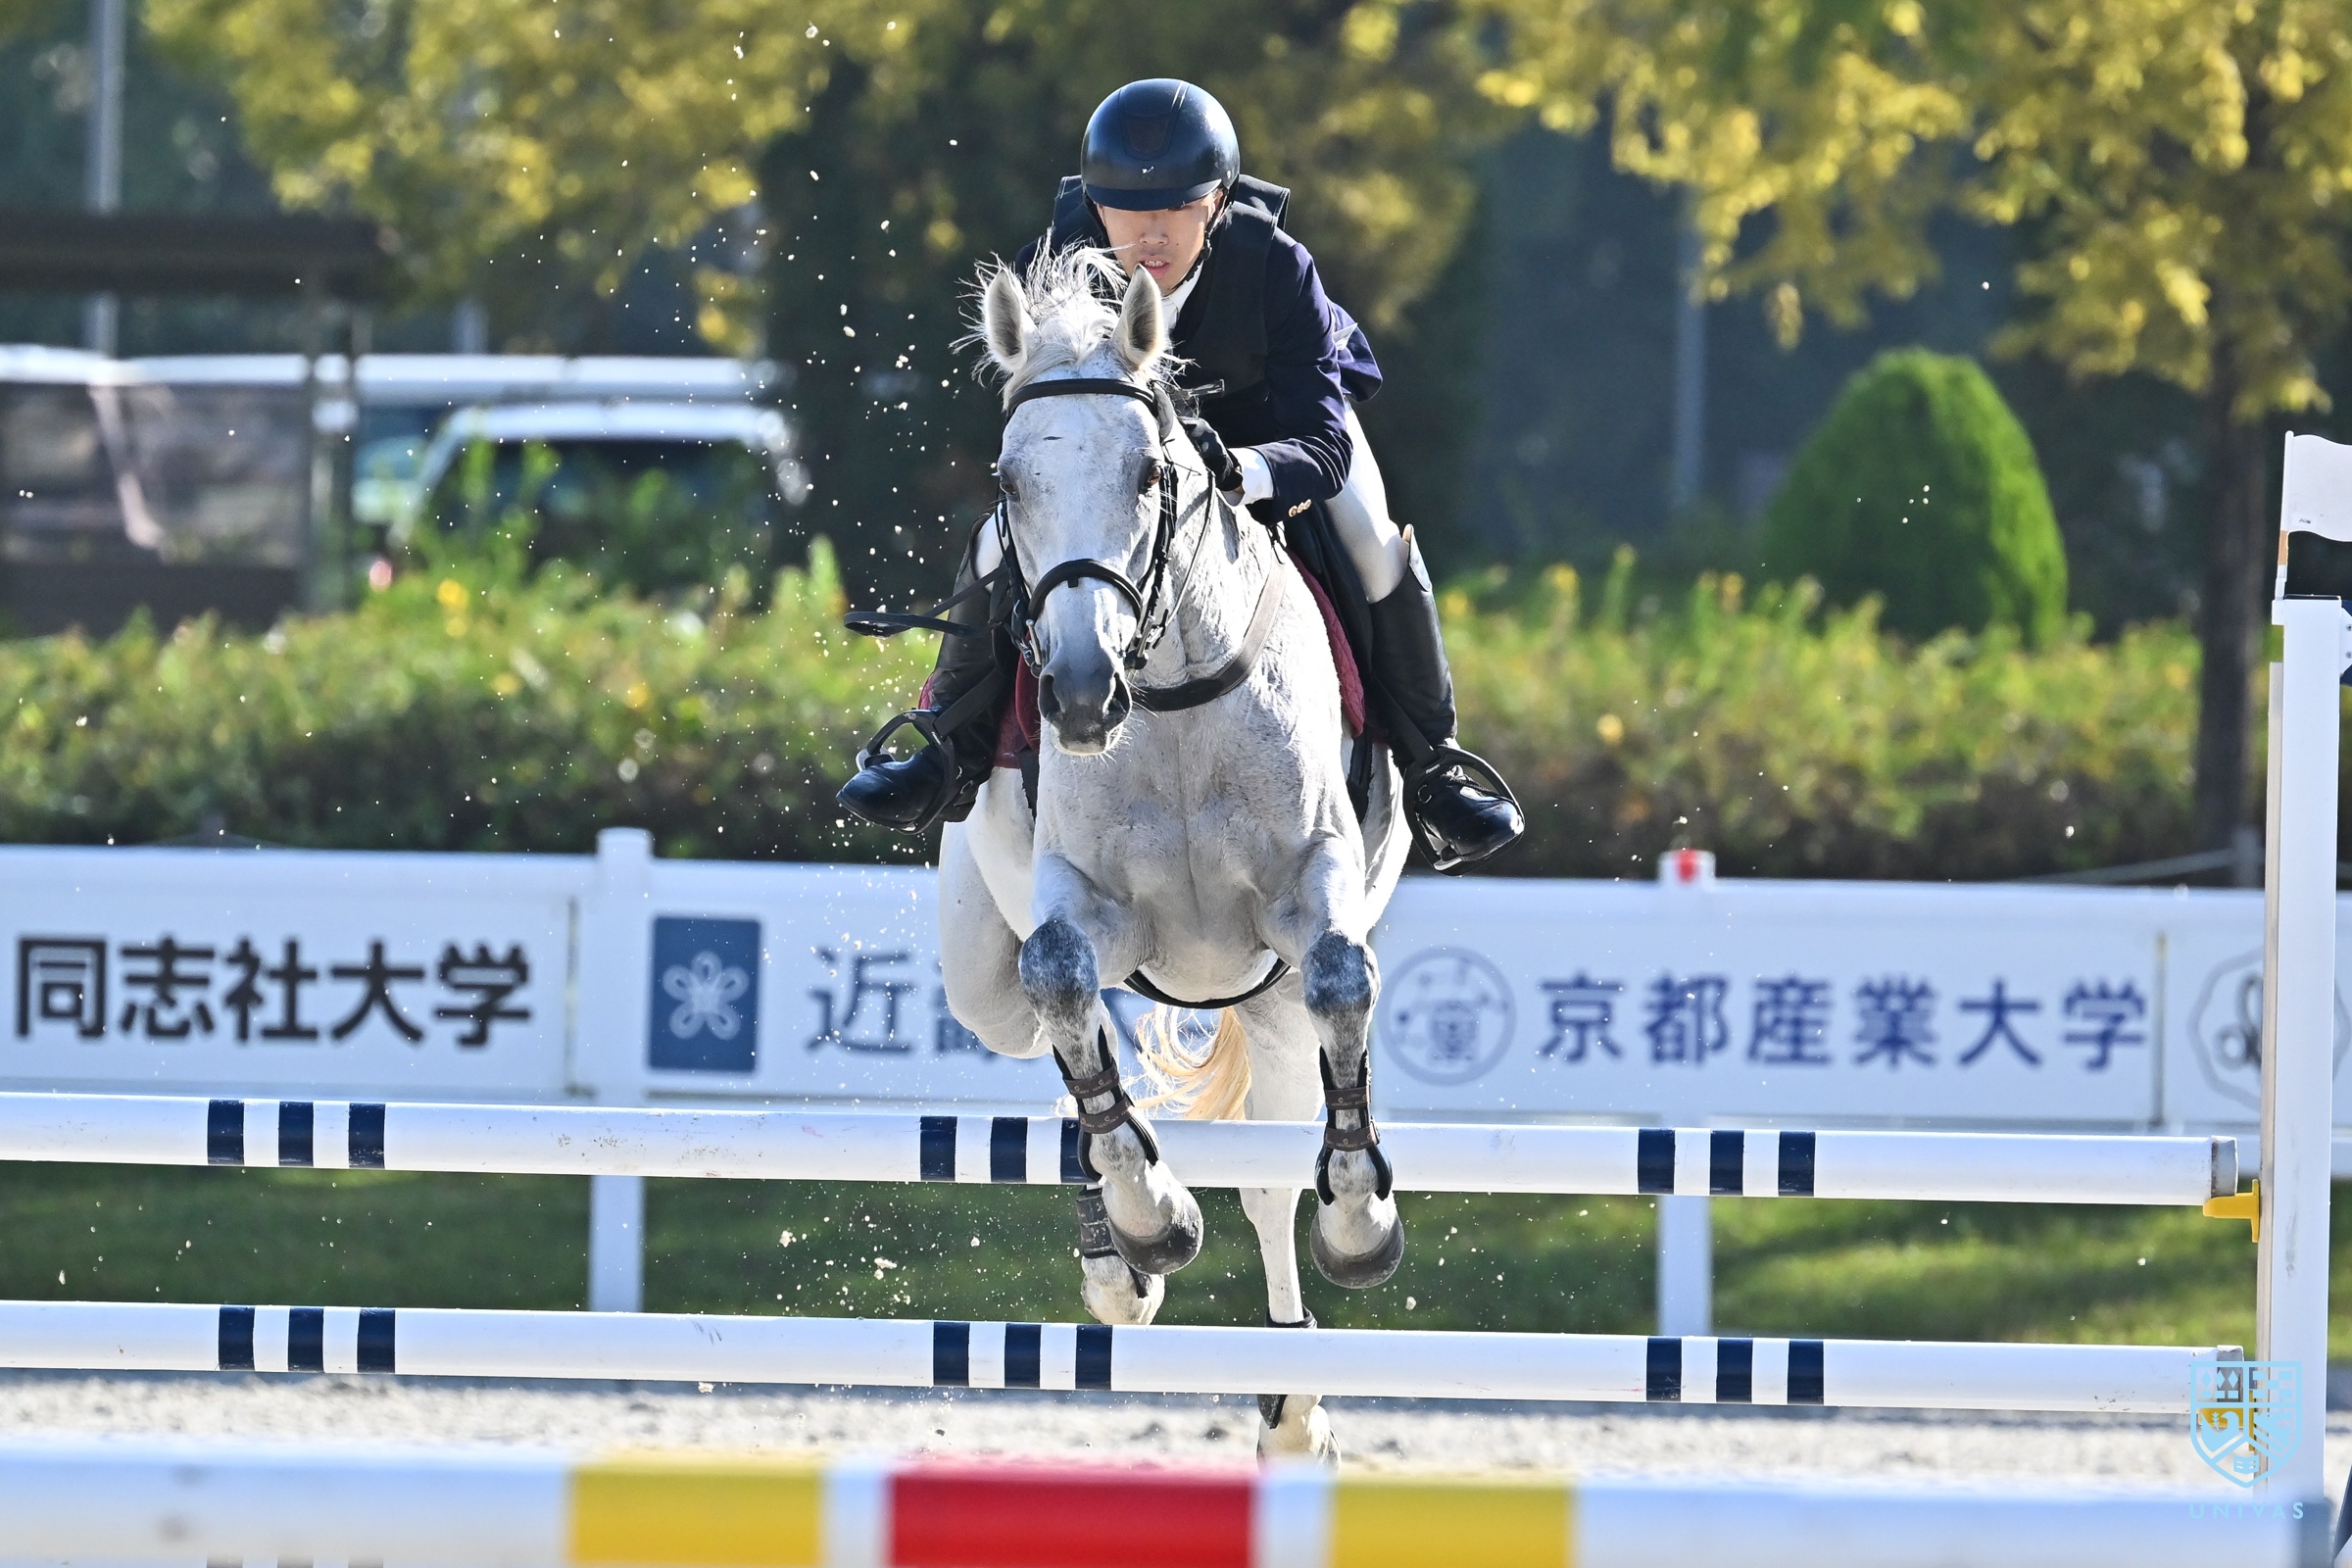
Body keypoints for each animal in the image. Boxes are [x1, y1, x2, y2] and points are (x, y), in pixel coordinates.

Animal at [934, 247, 1410, 1461]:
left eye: (1151, 471)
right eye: (1008, 483)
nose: (1076, 692)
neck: (1173, 691)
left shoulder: (1307, 897)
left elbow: (1342, 985)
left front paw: (1362, 1221)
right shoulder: (1085, 905)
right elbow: (1063, 984)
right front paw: (1150, 1219)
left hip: (1270, 1005)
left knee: (1276, 1174)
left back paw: (1293, 1403)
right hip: (984, 974)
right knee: (1045, 1028)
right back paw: (1120, 1256)